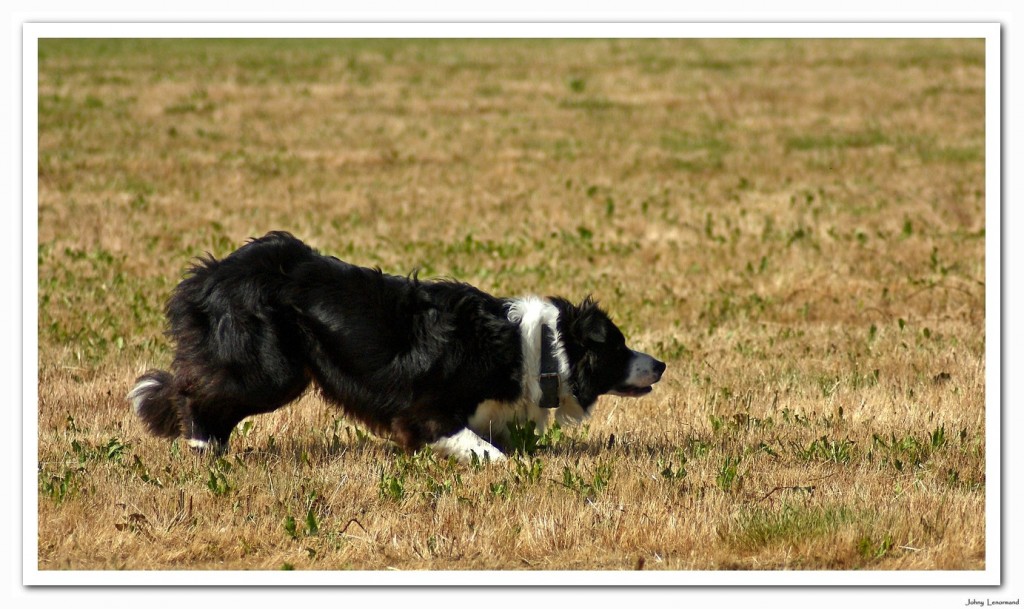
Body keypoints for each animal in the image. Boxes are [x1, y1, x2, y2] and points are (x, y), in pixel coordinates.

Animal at [128, 232, 667, 462]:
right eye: (619, 347)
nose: (661, 364)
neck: (537, 350)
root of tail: (208, 274)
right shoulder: (426, 410)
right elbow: (486, 451)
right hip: (272, 370)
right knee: (195, 392)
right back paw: (203, 447)